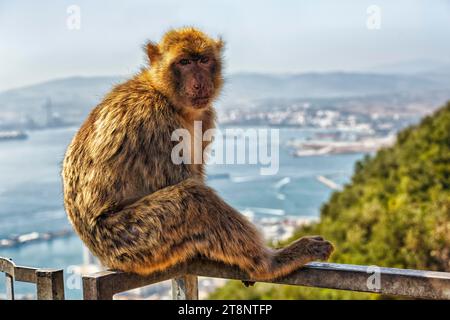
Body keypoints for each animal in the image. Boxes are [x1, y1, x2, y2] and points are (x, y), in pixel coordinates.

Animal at [61, 28, 332, 282]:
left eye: (203, 60)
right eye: (184, 62)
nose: (200, 82)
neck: (168, 98)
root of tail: (101, 255)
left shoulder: (206, 117)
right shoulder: (154, 121)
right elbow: (180, 182)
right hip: (131, 239)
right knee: (192, 198)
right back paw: (269, 263)